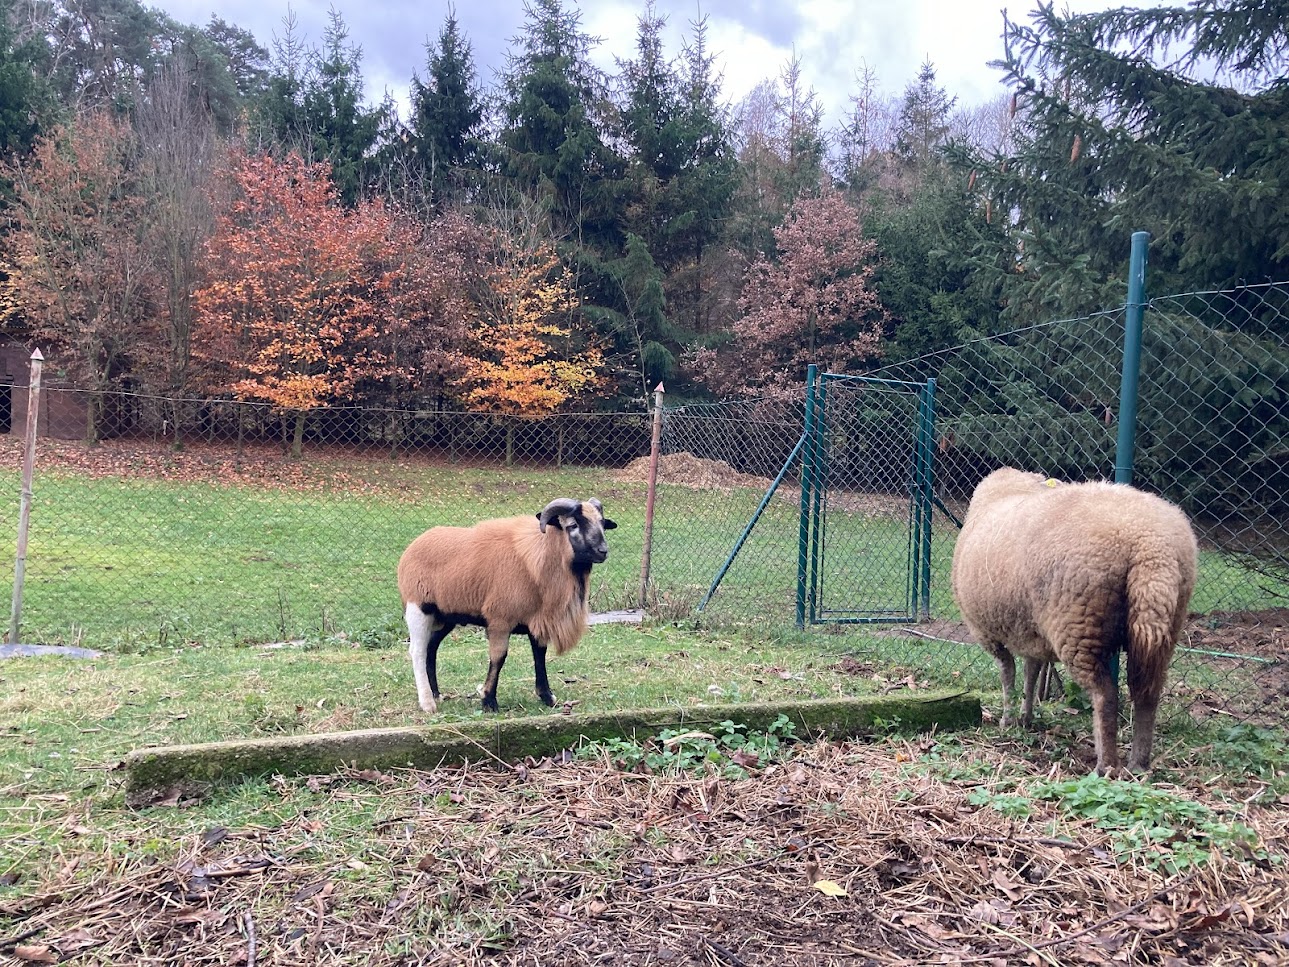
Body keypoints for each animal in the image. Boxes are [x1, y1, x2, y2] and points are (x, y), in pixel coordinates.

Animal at [394, 500, 616, 711]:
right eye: (573, 525)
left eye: (602, 523)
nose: (603, 551)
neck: (541, 559)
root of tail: (411, 548)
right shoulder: (500, 621)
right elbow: (499, 657)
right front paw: (489, 701)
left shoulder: (537, 621)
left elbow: (539, 655)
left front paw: (547, 697)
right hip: (419, 608)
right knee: (417, 651)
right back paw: (427, 704)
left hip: (446, 617)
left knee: (431, 648)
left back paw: (436, 694)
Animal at [948, 469, 1196, 778]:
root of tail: (1149, 546)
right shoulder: (1032, 633)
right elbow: (1031, 674)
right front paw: (1025, 717)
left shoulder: (986, 632)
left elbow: (1008, 673)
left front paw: (1008, 718)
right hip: (1164, 625)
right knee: (1146, 693)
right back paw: (1139, 762)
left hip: (1079, 625)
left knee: (1105, 695)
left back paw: (1106, 764)